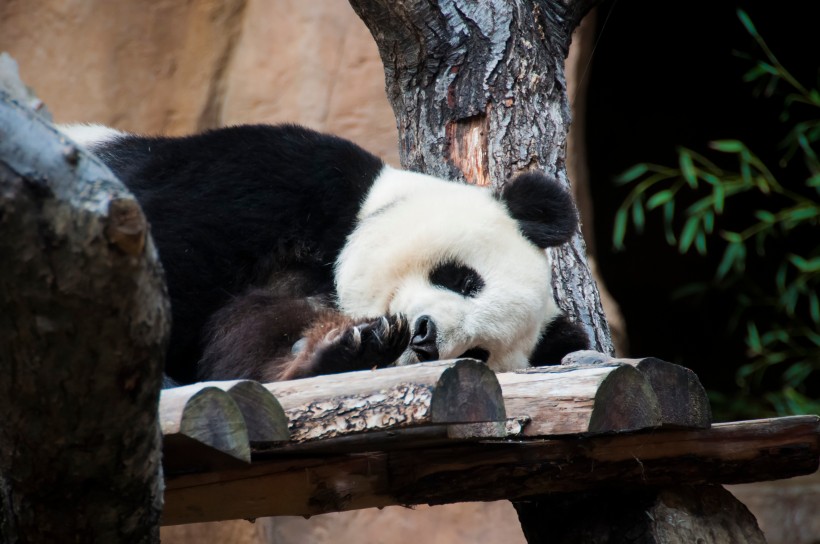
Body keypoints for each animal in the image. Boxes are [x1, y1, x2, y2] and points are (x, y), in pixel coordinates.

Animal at [60, 124, 588, 386]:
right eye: (463, 279)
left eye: (478, 353)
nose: (425, 338)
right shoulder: (279, 177)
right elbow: (174, 245)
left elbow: (244, 351)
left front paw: (346, 350)